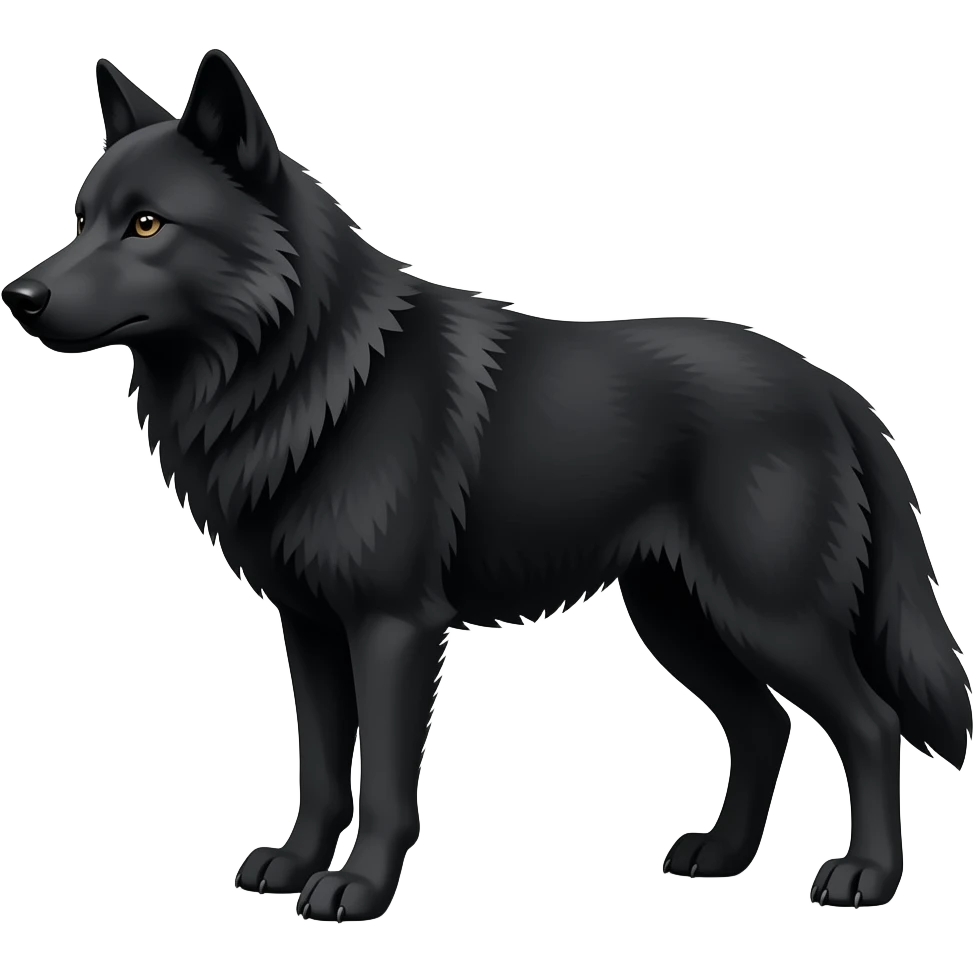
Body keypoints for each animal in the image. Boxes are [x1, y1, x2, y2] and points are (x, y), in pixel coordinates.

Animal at [3, 51, 970, 921]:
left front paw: (357, 890)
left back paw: (865, 878)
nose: (20, 296)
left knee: (870, 724)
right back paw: (722, 856)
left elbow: (384, 785)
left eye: (147, 225)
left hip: (769, 615)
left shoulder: (394, 628)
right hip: (678, 616)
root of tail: (833, 387)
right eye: (83, 218)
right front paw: (294, 863)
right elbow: (321, 772)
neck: (309, 373)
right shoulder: (309, 628)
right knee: (764, 726)